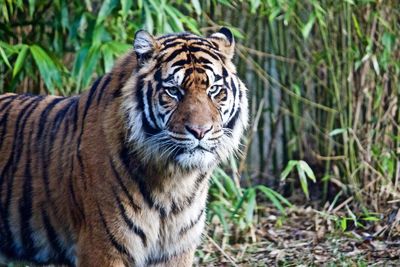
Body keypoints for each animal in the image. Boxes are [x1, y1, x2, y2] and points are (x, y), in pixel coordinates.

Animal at [0, 28, 247, 266]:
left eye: (214, 90)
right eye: (174, 91)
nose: (200, 131)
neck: (175, 181)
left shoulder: (176, 251)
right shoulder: (103, 247)